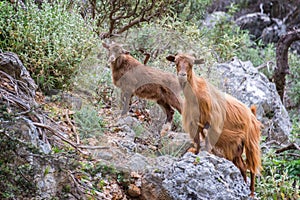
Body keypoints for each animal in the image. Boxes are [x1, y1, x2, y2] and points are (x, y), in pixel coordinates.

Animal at [168, 53, 262, 197]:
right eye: (176, 62)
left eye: (191, 64)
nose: (182, 75)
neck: (196, 92)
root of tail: (252, 114)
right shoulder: (195, 124)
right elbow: (197, 141)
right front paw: (195, 153)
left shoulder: (212, 124)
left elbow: (207, 143)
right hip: (236, 146)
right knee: (242, 166)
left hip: (251, 141)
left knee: (251, 167)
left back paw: (251, 192)